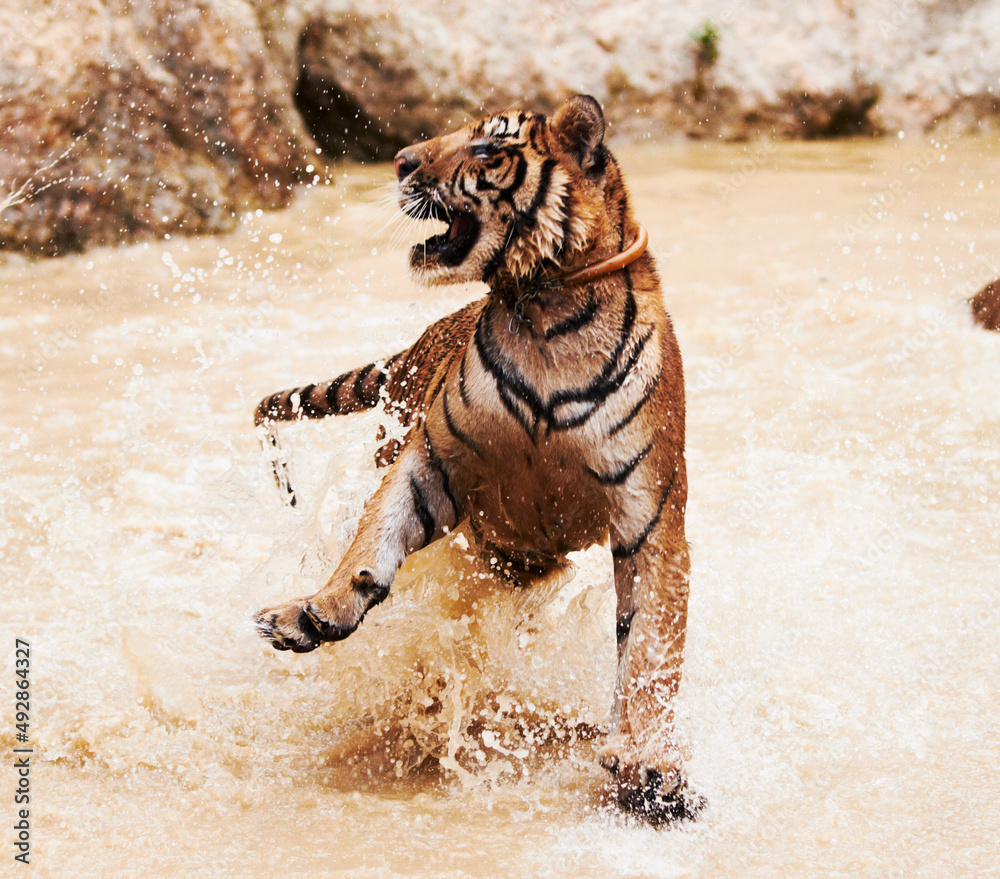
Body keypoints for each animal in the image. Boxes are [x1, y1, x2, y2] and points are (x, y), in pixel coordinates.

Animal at [254, 96, 700, 824]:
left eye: (487, 149)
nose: (400, 161)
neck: (546, 310)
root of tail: (416, 342)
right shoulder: (430, 461)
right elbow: (372, 539)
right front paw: (317, 611)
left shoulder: (650, 518)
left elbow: (652, 651)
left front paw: (652, 765)